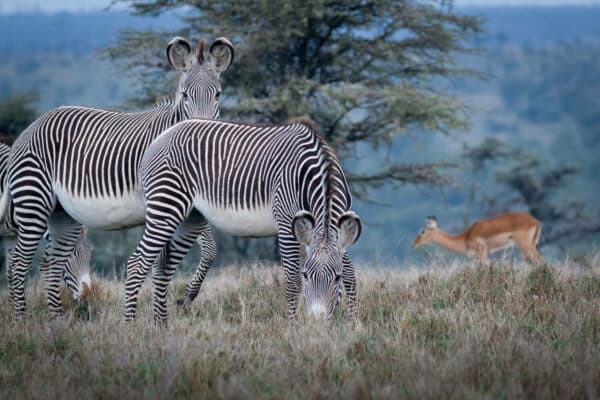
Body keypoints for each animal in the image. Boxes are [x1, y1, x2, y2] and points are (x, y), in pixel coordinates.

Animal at [123, 117, 360, 324]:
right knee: (137, 263)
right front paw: (294, 329)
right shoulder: (286, 224)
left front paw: (353, 325)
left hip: (191, 217)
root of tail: (163, 135)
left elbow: (350, 274)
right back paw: (130, 326)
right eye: (306, 275)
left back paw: (161, 326)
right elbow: (292, 281)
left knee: (162, 268)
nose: (316, 322)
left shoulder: (336, 233)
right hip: (166, 205)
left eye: (336, 278)